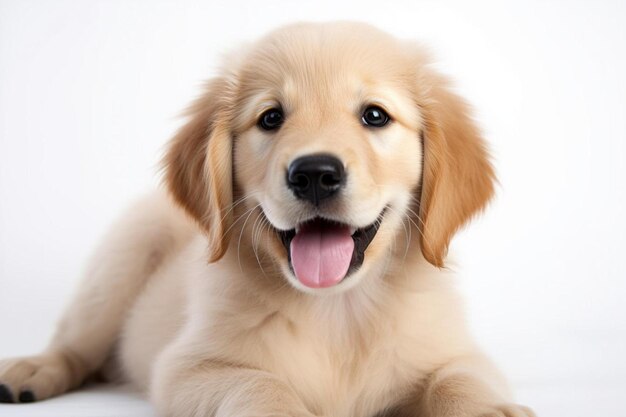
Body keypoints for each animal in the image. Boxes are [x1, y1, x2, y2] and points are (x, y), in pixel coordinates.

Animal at [0, 22, 532, 416]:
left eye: (375, 116)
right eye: (271, 118)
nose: (314, 174)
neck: (336, 311)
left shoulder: (458, 353)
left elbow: (460, 381)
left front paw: (489, 409)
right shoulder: (187, 368)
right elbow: (259, 387)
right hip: (123, 255)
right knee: (75, 343)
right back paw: (30, 371)